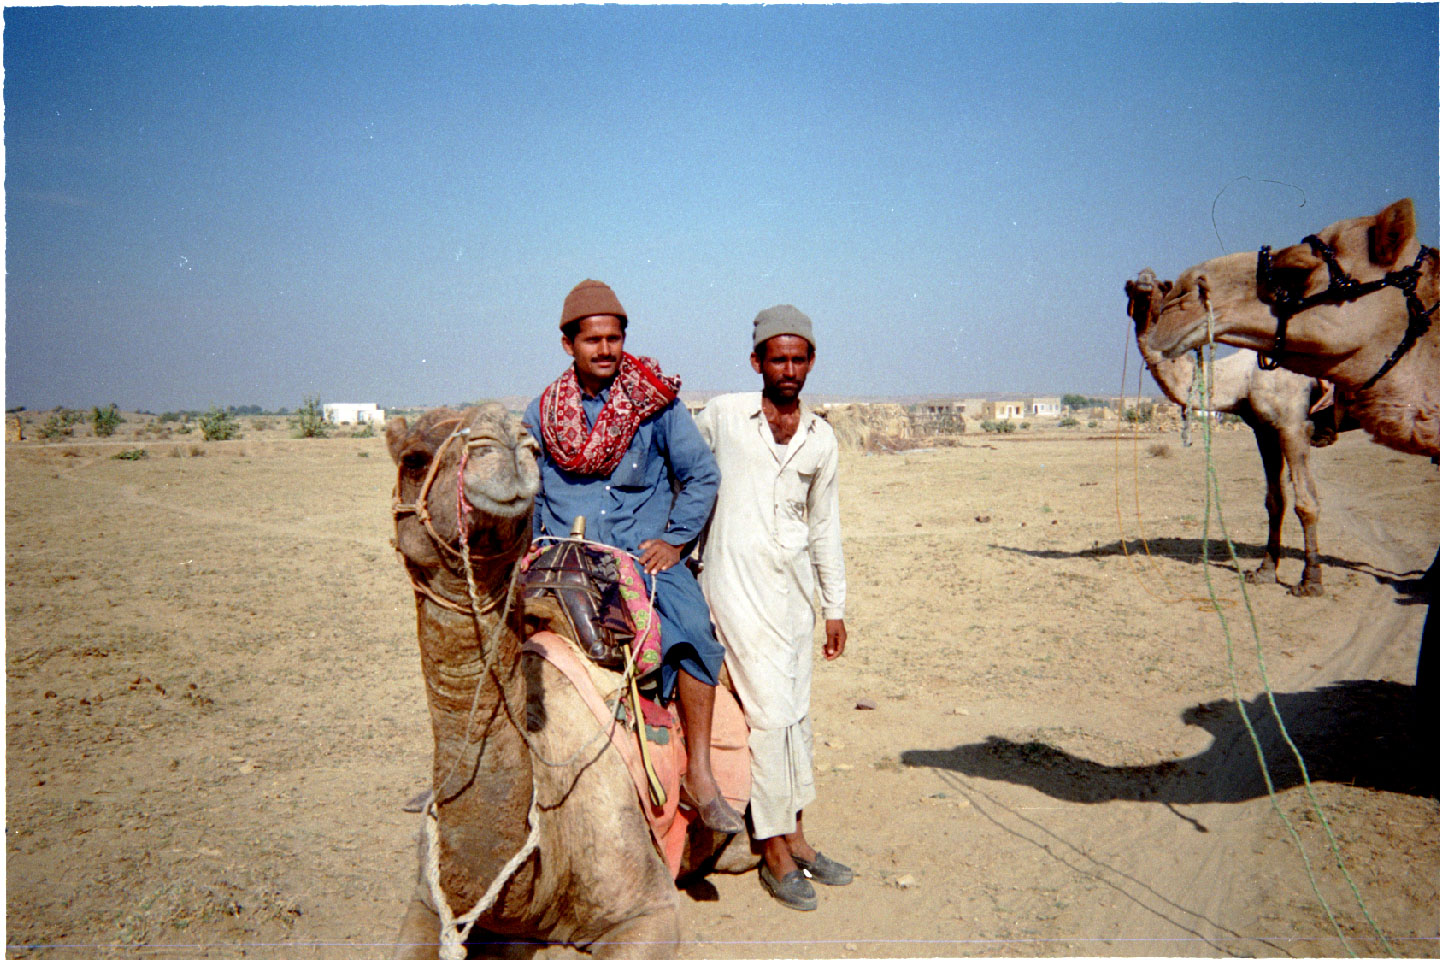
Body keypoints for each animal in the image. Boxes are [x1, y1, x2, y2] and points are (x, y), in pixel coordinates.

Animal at [1123, 264, 1336, 592]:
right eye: (1129, 286)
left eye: (1163, 285)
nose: (1145, 280)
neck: (1244, 378)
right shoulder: (1265, 430)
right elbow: (1275, 501)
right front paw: (1263, 572)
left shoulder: (1293, 425)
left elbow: (1306, 502)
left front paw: (1310, 582)